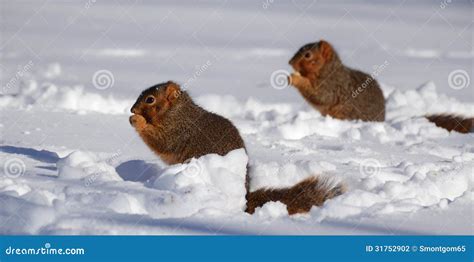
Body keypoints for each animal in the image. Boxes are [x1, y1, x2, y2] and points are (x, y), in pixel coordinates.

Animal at [130, 81, 344, 215]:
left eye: (150, 99)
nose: (132, 109)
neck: (177, 111)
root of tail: (244, 196)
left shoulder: (177, 131)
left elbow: (162, 141)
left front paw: (137, 120)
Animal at [288, 40, 474, 134]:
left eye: (307, 55)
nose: (290, 63)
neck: (328, 69)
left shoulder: (333, 85)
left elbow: (320, 96)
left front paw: (294, 79)